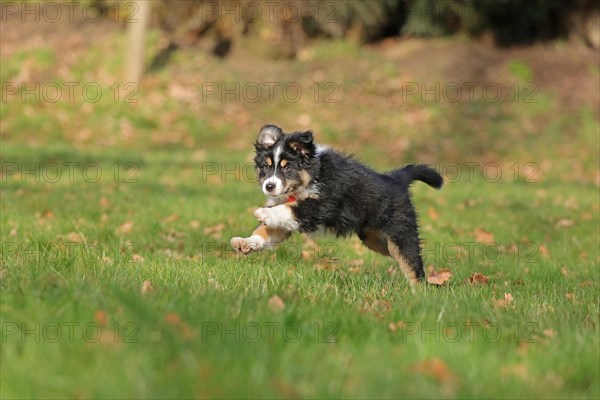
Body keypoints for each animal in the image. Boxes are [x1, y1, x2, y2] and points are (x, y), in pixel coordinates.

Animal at [232, 124, 442, 284]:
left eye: (288, 168)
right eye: (265, 167)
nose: (269, 186)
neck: (314, 175)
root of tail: (398, 180)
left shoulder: (321, 205)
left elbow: (290, 209)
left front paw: (264, 213)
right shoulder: (285, 223)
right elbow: (265, 230)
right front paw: (246, 242)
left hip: (400, 233)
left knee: (412, 265)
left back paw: (420, 293)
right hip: (375, 239)